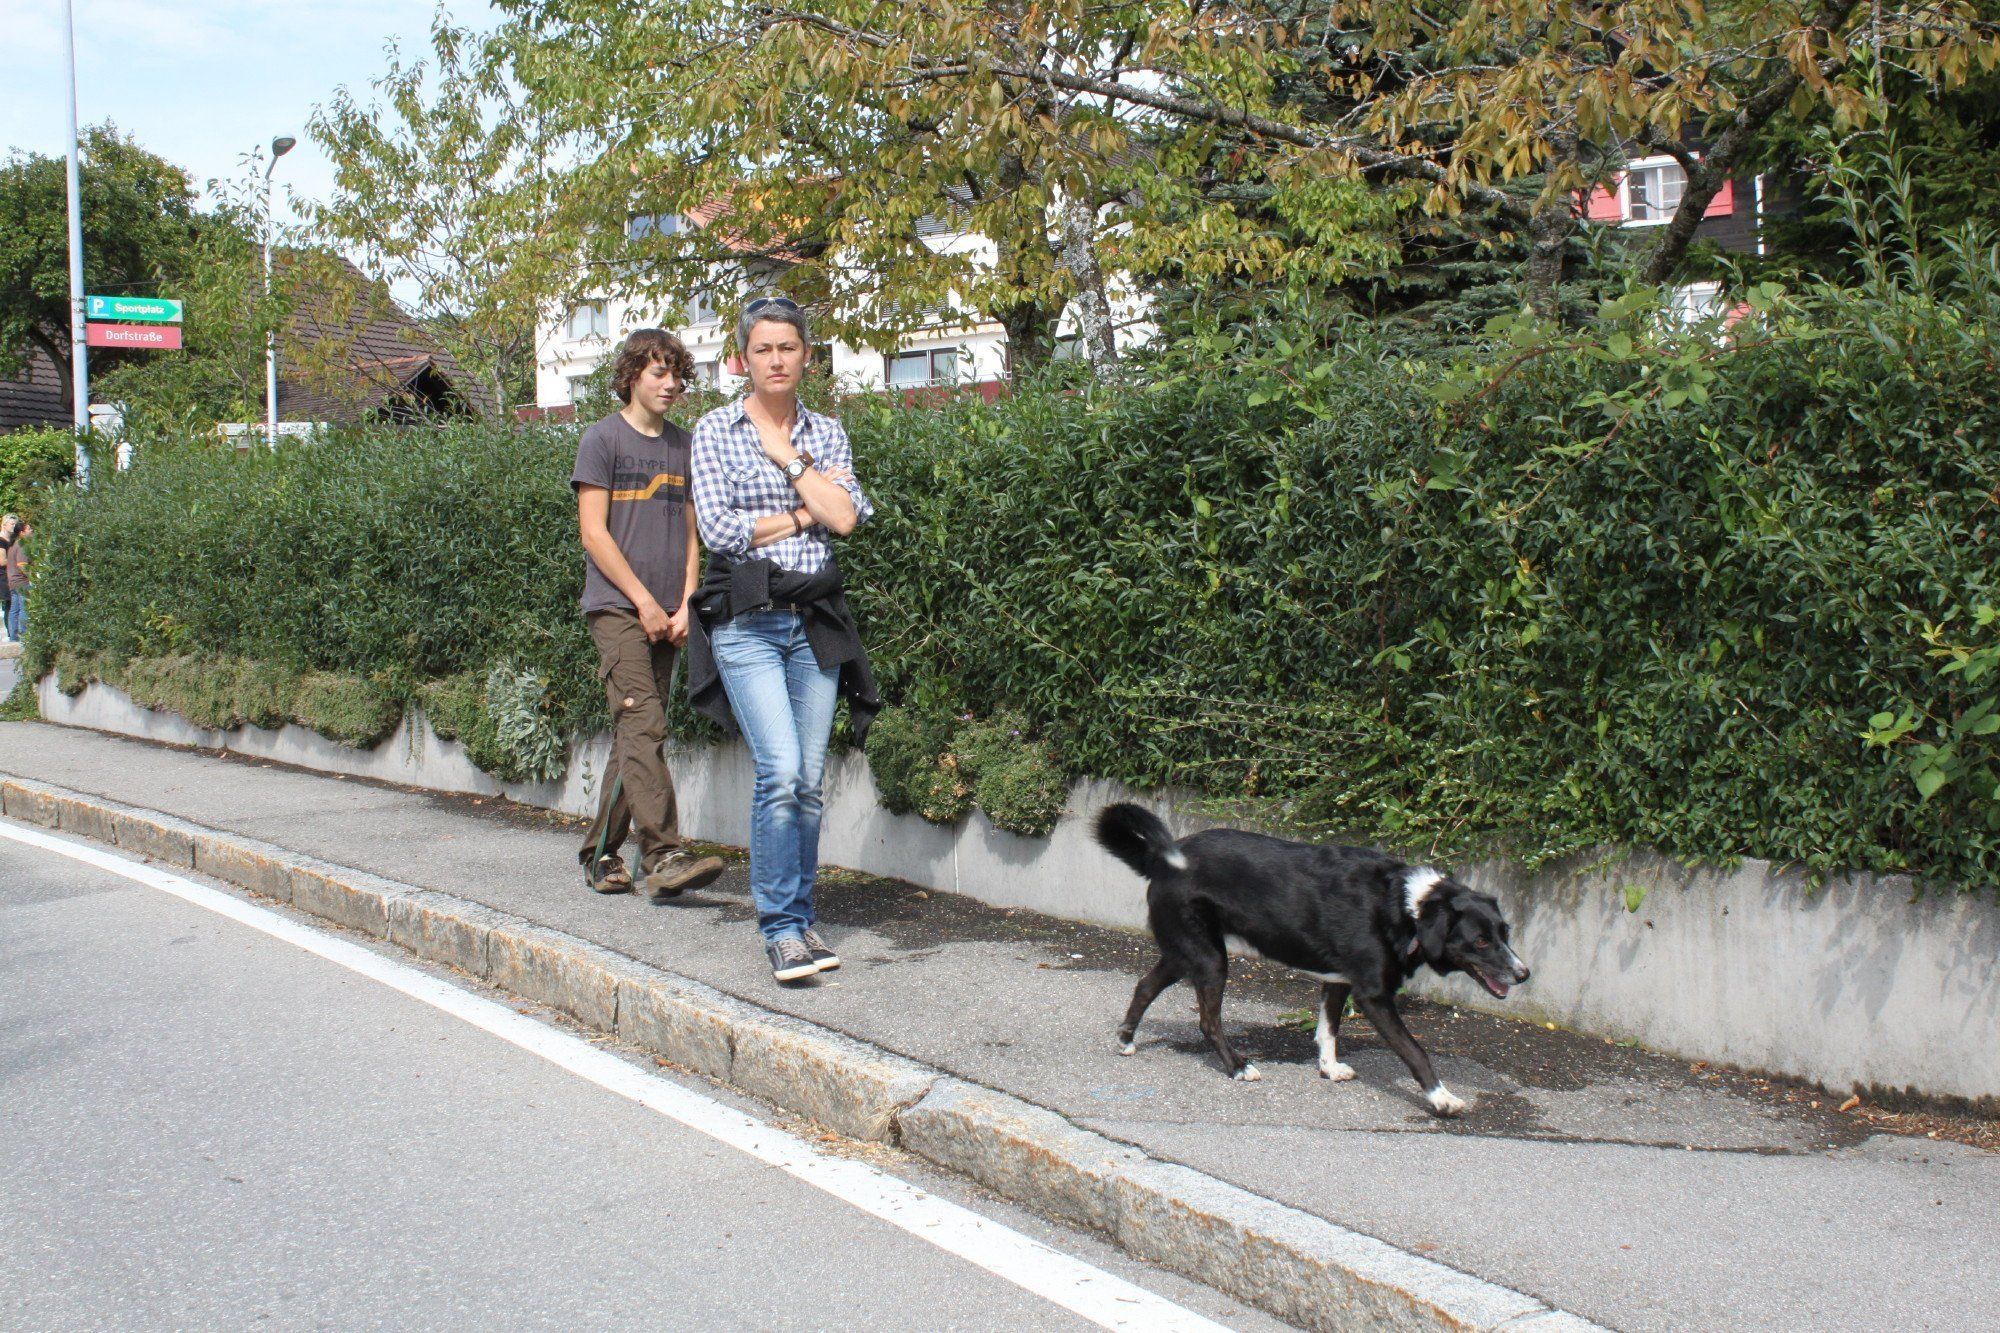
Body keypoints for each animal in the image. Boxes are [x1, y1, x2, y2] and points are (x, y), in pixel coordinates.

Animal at [1093, 803, 1530, 1117]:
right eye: (1480, 941)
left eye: (1504, 933)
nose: (1524, 973)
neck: (1407, 908)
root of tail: (1159, 859)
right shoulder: (1374, 995)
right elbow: (1415, 1052)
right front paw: (1441, 1098)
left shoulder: (1338, 980)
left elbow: (1328, 1030)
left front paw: (1329, 1068)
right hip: (1209, 959)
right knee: (1207, 1021)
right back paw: (1237, 1066)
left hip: (1187, 953)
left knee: (1145, 986)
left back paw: (1126, 1039)